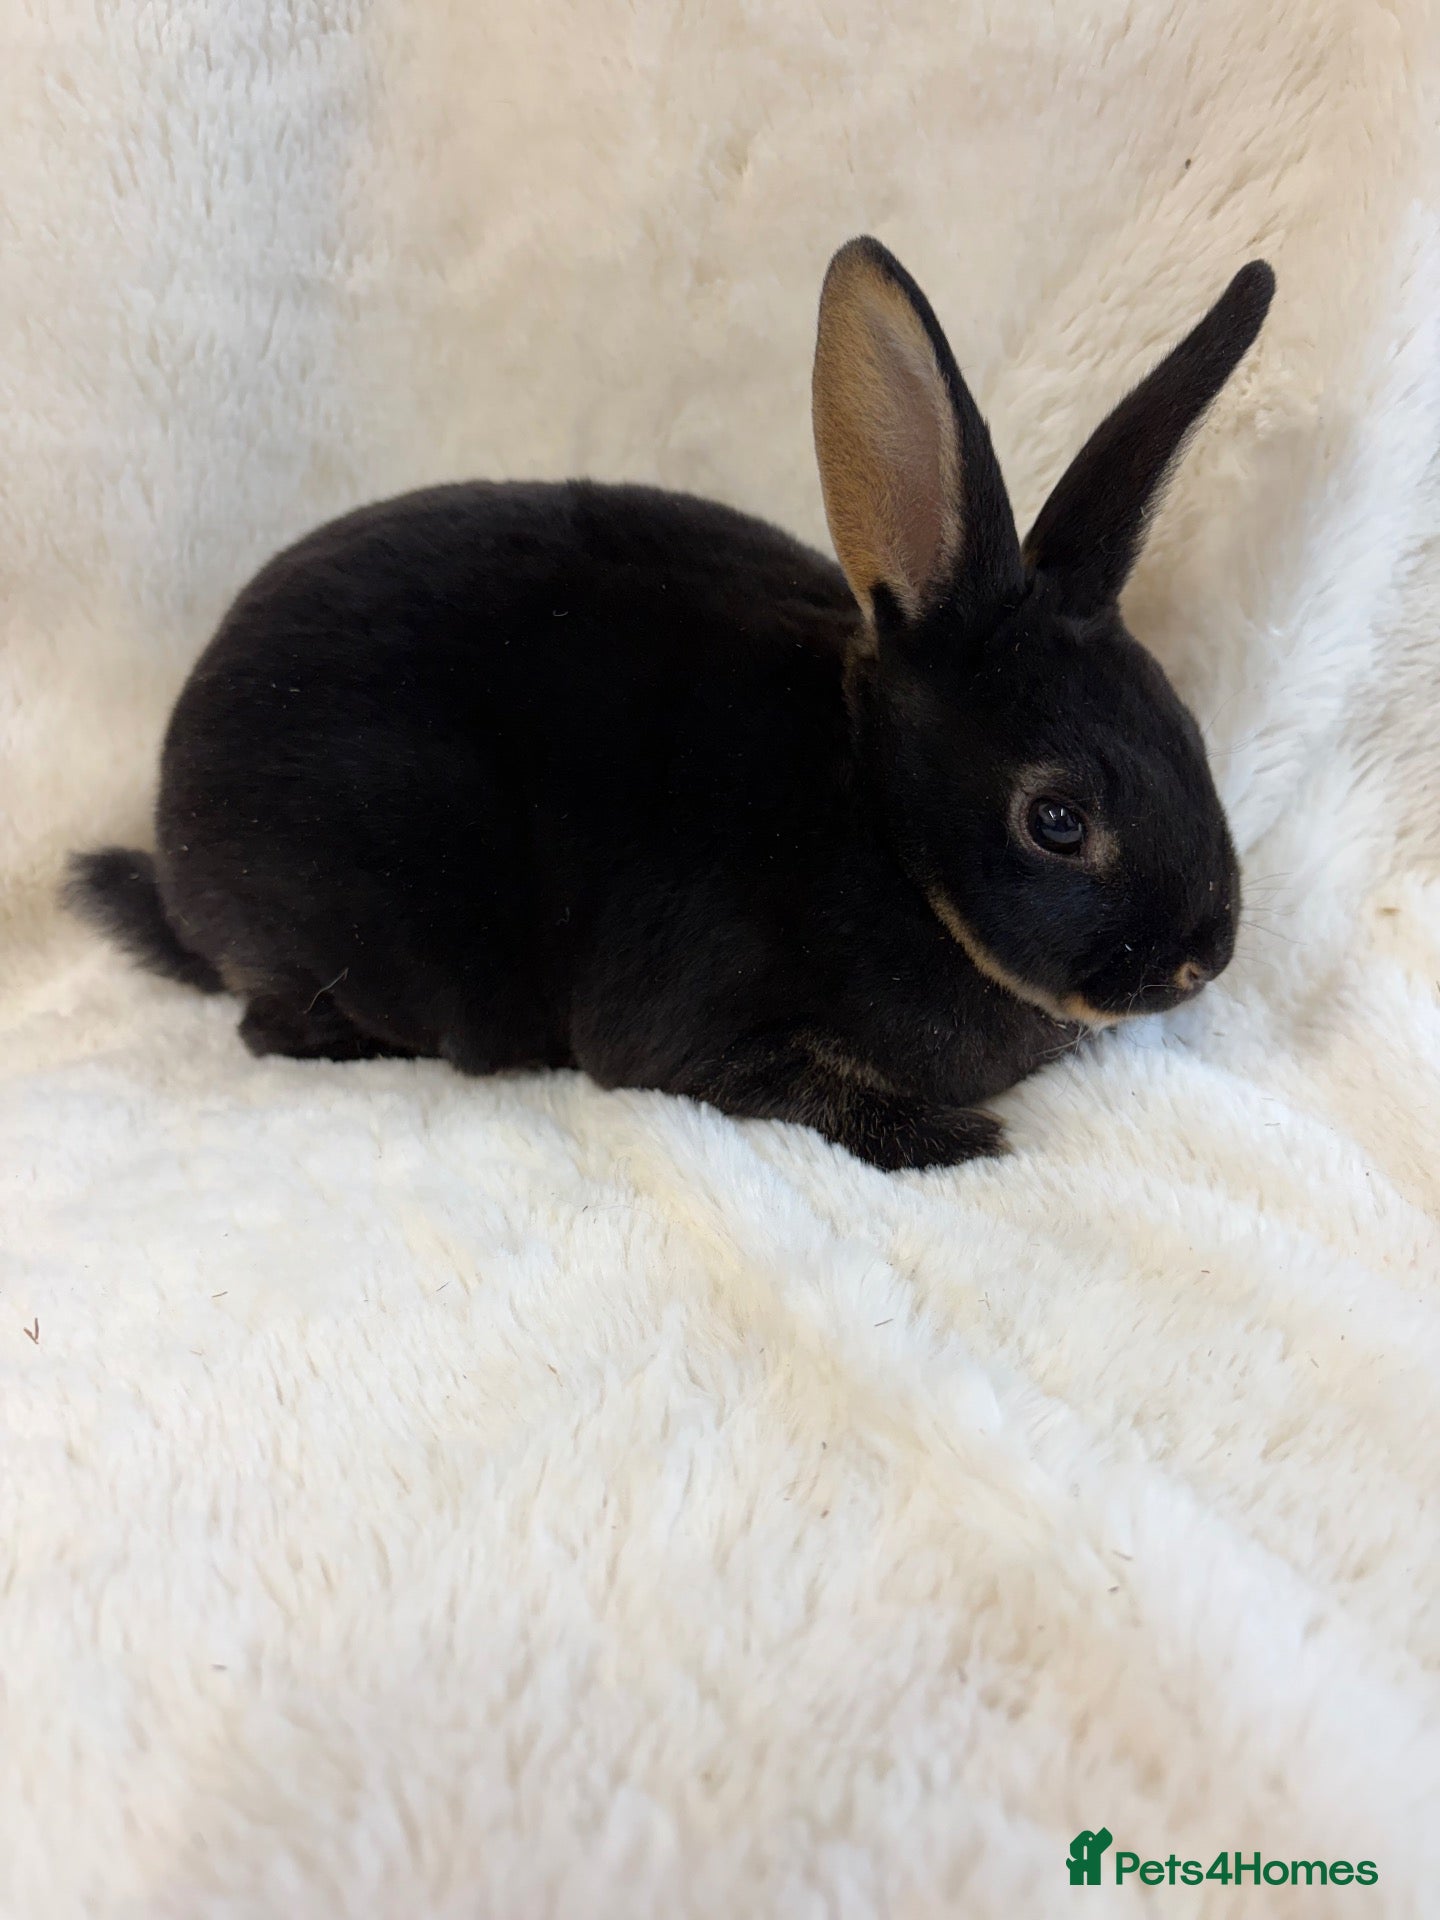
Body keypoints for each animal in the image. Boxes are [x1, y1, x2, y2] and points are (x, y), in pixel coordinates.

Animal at [68, 237, 1274, 1170]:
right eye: (1057, 820)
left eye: (1188, 731)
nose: (1203, 959)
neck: (882, 832)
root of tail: (174, 858)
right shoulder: (694, 1031)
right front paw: (959, 1139)